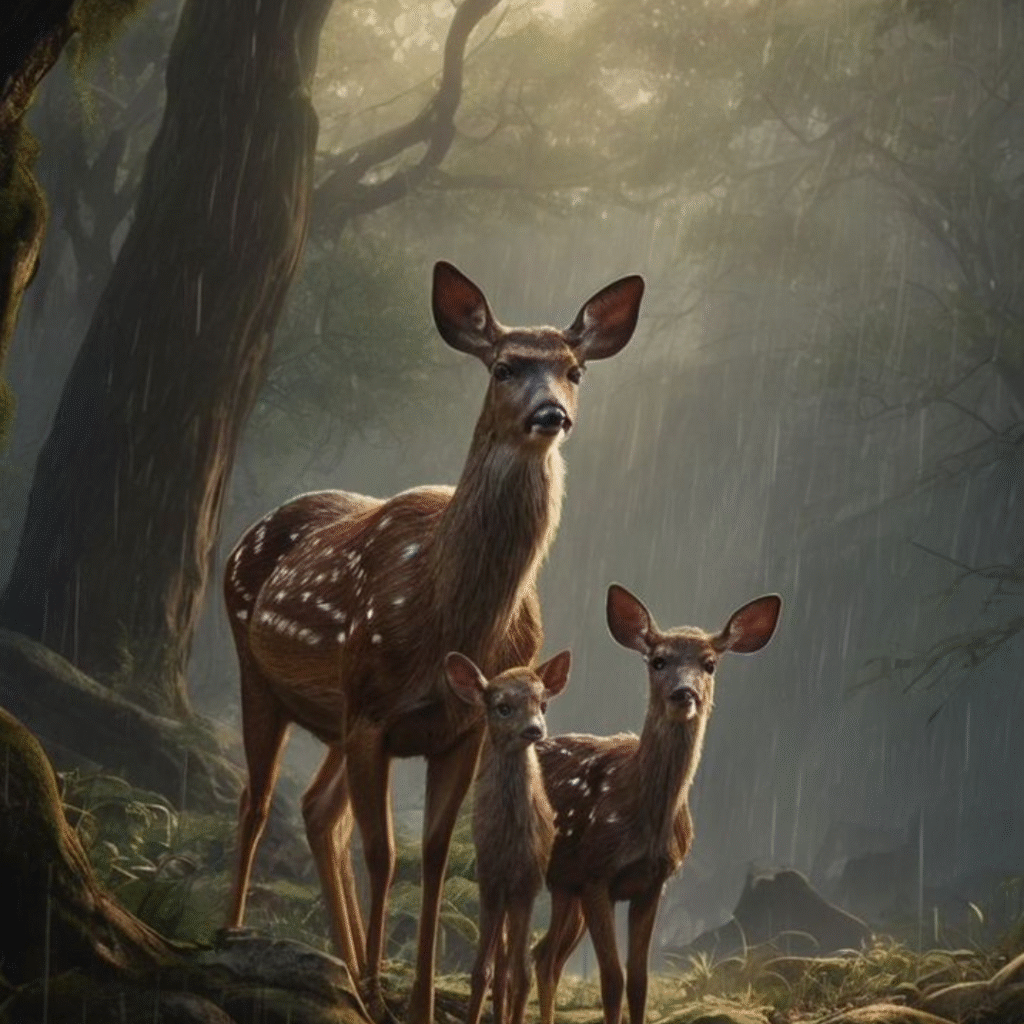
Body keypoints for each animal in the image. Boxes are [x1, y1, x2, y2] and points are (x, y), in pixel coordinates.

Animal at [445, 649, 571, 1024]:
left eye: (543, 704)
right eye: (502, 706)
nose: (535, 729)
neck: (510, 843)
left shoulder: (528, 882)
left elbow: (523, 974)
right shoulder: (489, 877)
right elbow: (480, 971)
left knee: (517, 967)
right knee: (499, 965)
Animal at [533, 584, 782, 1024]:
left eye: (709, 664)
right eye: (658, 660)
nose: (684, 694)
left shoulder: (652, 883)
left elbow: (639, 981)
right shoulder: (596, 873)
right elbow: (612, 979)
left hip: (564, 886)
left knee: (544, 957)